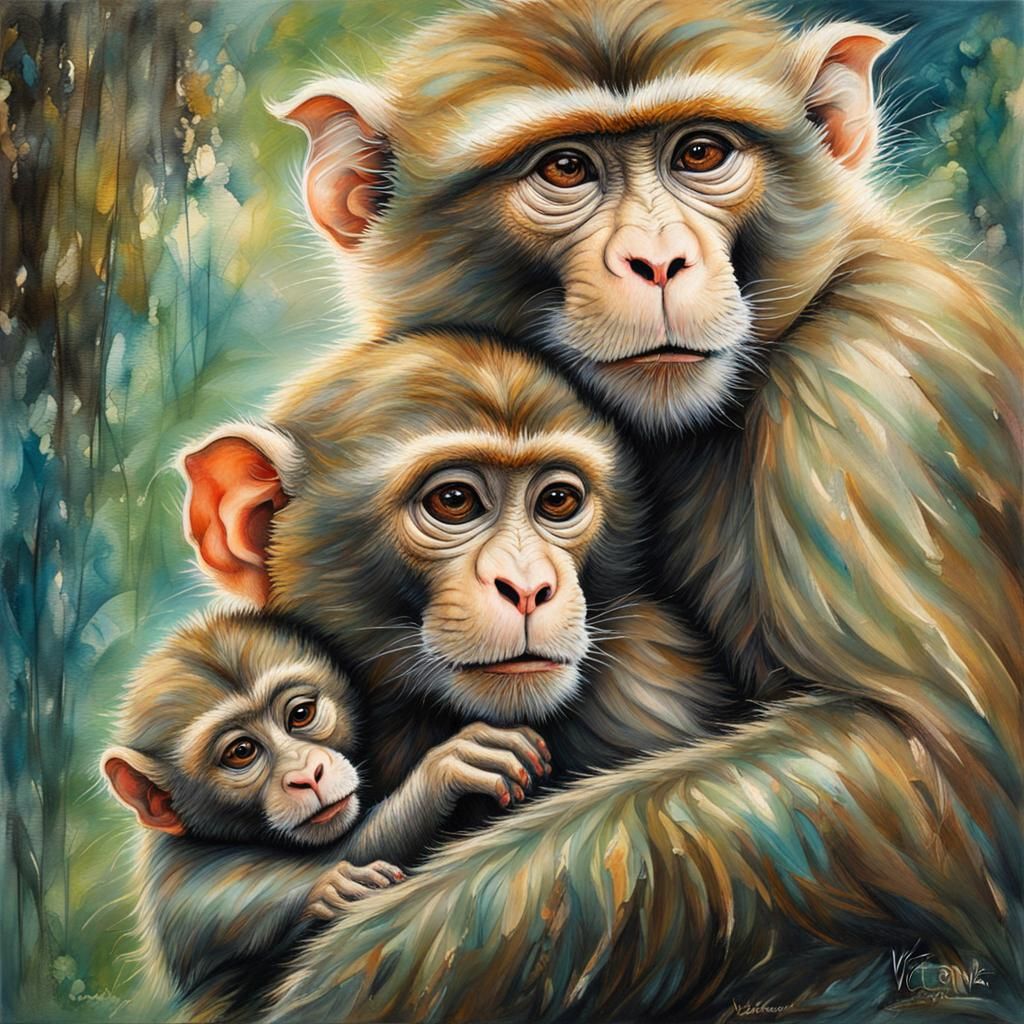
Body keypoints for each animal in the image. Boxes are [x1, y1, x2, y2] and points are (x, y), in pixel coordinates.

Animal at [236, 0, 1022, 1019]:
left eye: (701, 153)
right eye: (566, 168)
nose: (658, 259)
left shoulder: (873, 381)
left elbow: (927, 775)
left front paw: (352, 975)